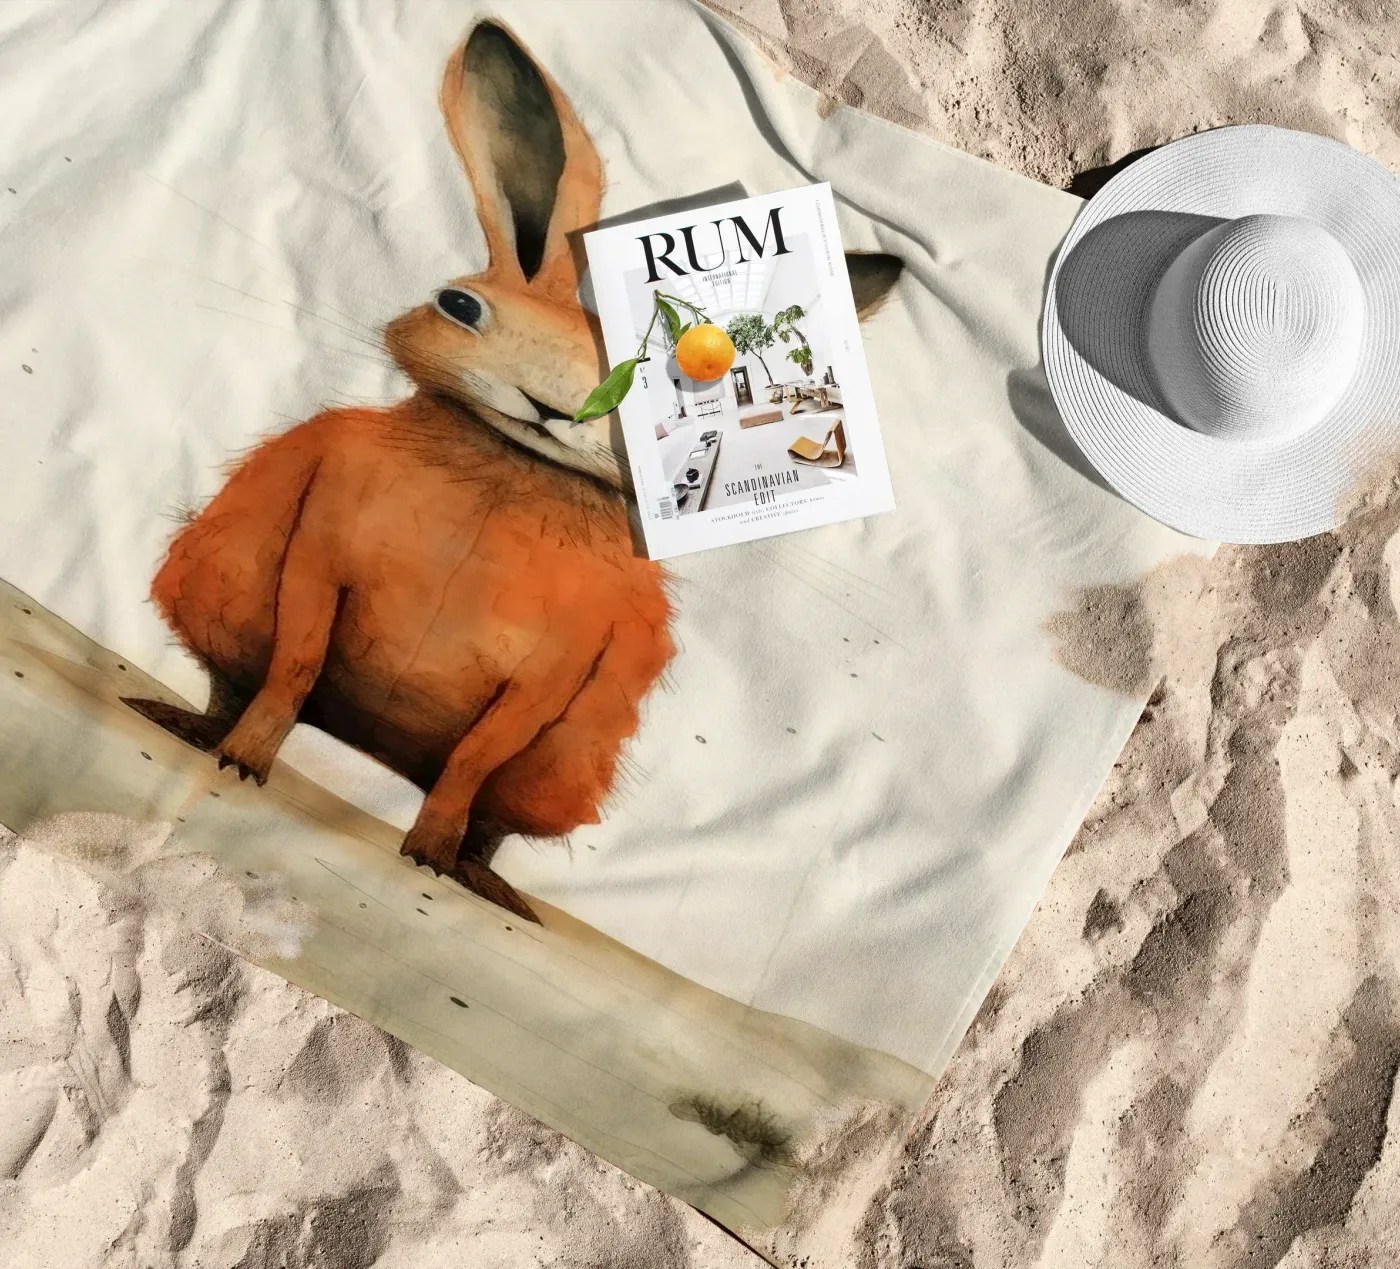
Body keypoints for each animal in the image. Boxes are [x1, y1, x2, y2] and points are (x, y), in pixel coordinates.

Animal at [123, 20, 905, 925]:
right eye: (459, 306)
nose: (550, 406)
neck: (510, 471)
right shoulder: (316, 559)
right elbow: (292, 670)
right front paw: (244, 760)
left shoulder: (550, 679)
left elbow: (471, 761)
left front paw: (428, 852)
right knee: (233, 682)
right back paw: (192, 729)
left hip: (562, 766)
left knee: (492, 819)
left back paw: (484, 880)